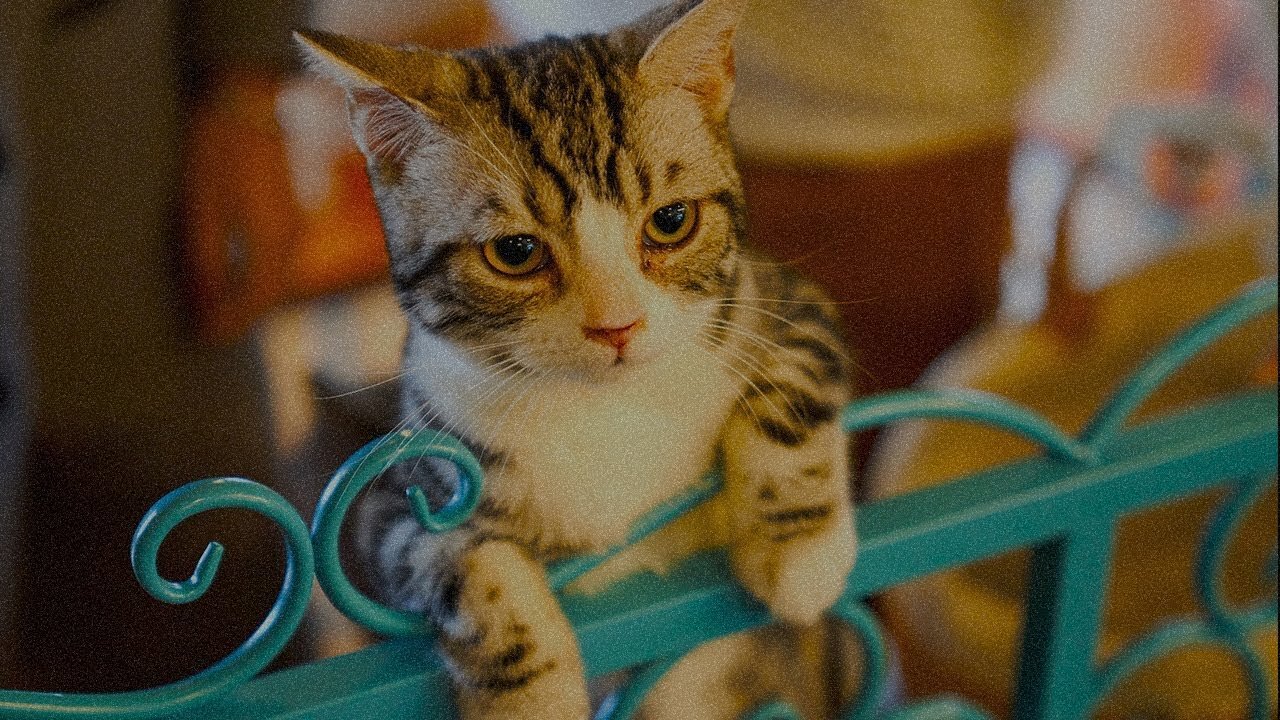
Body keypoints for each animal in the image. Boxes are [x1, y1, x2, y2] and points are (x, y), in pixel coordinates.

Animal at [296, 2, 860, 712]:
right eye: (514, 252)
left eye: (671, 220)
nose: (617, 325)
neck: (603, 407)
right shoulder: (400, 494)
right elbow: (452, 559)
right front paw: (528, 699)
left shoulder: (780, 299)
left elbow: (795, 380)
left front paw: (799, 555)